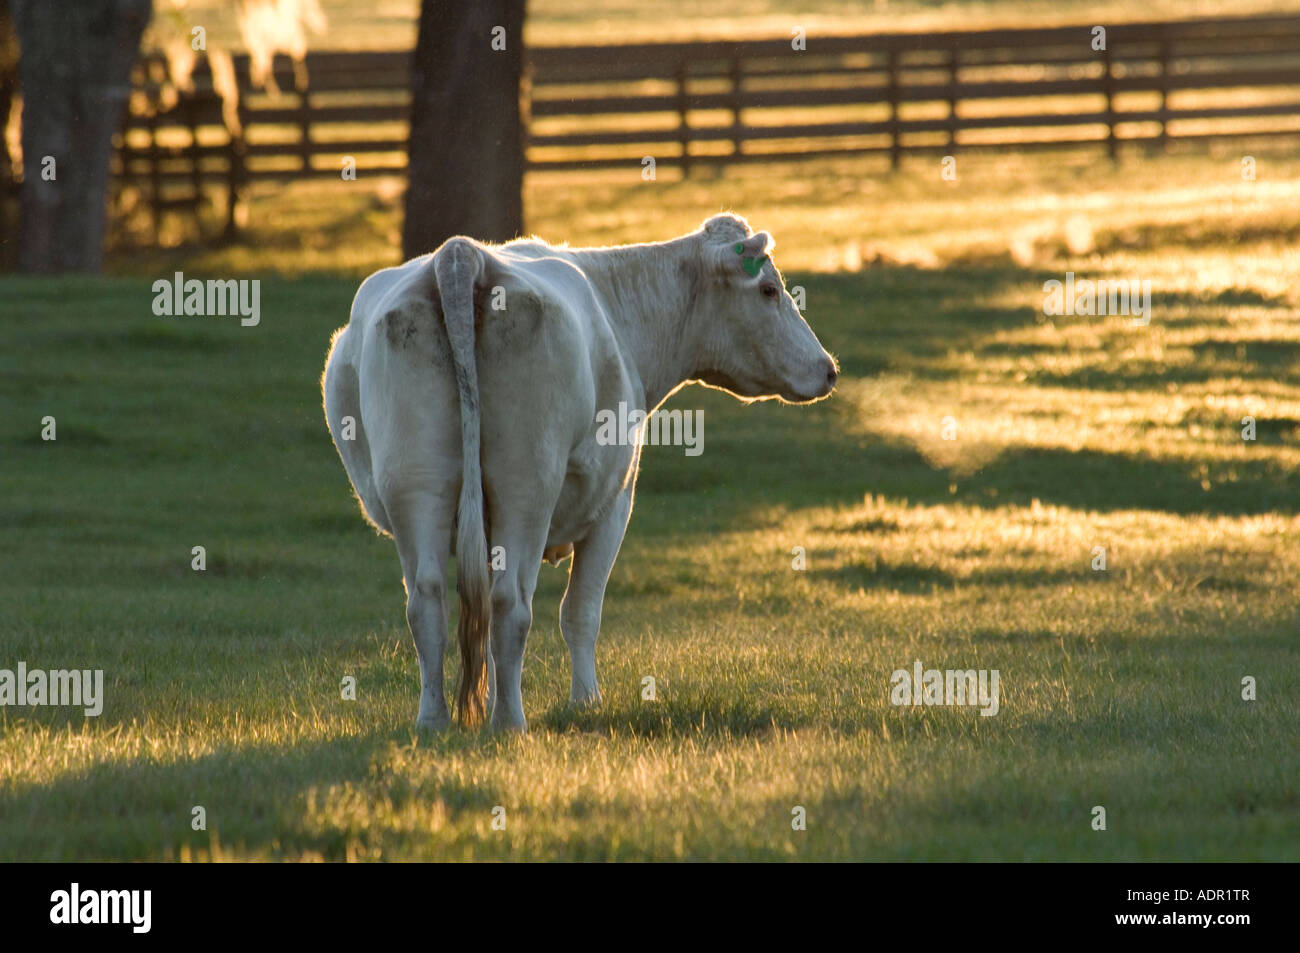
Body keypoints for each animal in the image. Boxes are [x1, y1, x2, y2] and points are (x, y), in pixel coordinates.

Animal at [319, 215, 837, 733]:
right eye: (769, 290)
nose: (829, 370)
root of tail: (463, 253)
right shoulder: (615, 503)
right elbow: (581, 612)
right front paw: (586, 701)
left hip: (415, 485)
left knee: (429, 601)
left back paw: (434, 721)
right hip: (526, 486)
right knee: (511, 602)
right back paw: (510, 721)